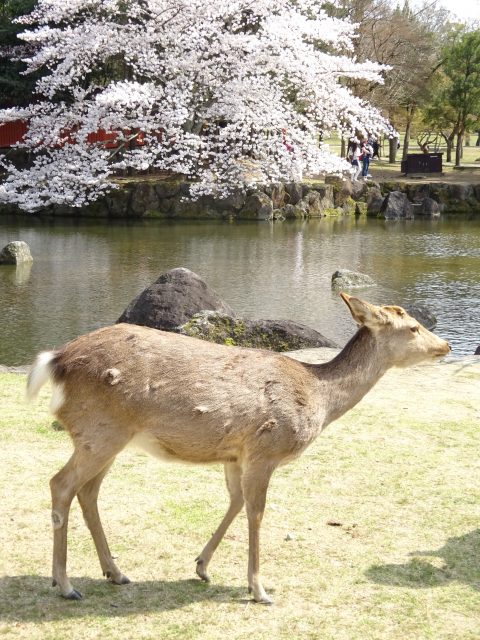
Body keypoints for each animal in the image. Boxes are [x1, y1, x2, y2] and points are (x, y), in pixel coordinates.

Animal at [28, 292, 452, 604]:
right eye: (413, 326)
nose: (446, 345)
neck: (318, 397)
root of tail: (55, 361)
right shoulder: (265, 450)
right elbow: (256, 512)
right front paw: (259, 590)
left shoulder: (234, 454)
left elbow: (234, 502)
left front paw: (202, 566)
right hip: (100, 432)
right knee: (60, 484)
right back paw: (65, 585)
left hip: (107, 439)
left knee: (88, 492)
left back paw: (116, 572)